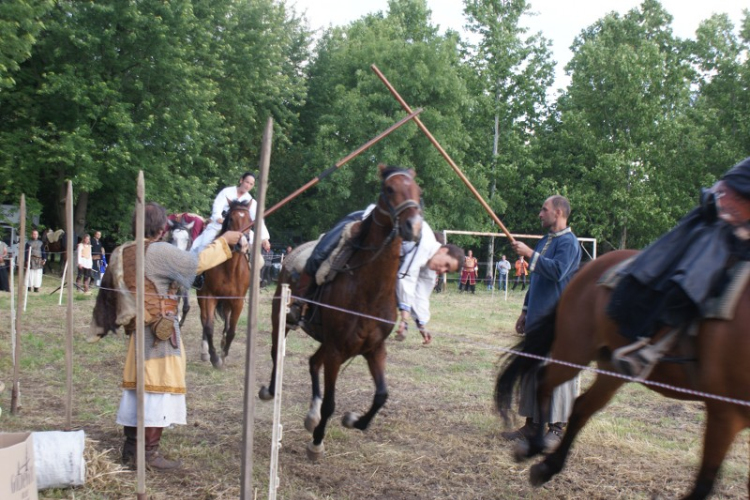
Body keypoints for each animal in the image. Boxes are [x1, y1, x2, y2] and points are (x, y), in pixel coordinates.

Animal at [198, 199, 251, 368]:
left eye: (250, 220)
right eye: (232, 219)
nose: (242, 244)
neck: (229, 268)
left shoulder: (237, 301)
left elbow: (232, 330)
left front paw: (224, 353)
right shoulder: (209, 296)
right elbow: (209, 326)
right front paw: (215, 358)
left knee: (226, 322)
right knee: (204, 320)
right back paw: (205, 352)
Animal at [258, 164, 424, 460]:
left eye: (418, 191)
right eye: (389, 189)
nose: (413, 227)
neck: (369, 290)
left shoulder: (374, 349)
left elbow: (381, 395)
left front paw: (353, 420)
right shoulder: (336, 351)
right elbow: (331, 403)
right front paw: (316, 443)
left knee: (313, 362)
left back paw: (311, 416)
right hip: (282, 319)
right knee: (278, 352)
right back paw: (272, 391)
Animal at [496, 250, 750, 500]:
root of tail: (591, 265)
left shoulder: (726, 414)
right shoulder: (724, 413)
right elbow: (703, 485)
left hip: (611, 369)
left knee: (580, 407)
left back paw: (548, 464)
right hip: (575, 350)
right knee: (546, 383)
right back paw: (535, 447)